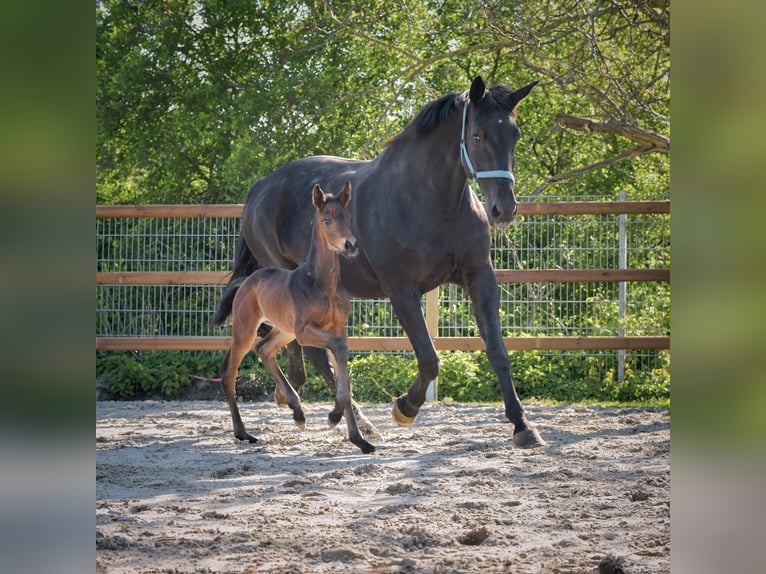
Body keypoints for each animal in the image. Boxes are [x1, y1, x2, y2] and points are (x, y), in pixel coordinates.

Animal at [213, 183, 376, 454]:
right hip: (247, 330)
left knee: (263, 348)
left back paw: (297, 412)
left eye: (348, 217)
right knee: (229, 372)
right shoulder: (305, 331)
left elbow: (343, 370)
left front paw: (358, 438)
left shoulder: (337, 329)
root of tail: (245, 282)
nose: (350, 246)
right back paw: (243, 432)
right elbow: (339, 353)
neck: (321, 283)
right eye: (327, 220)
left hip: (284, 330)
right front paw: (335, 417)